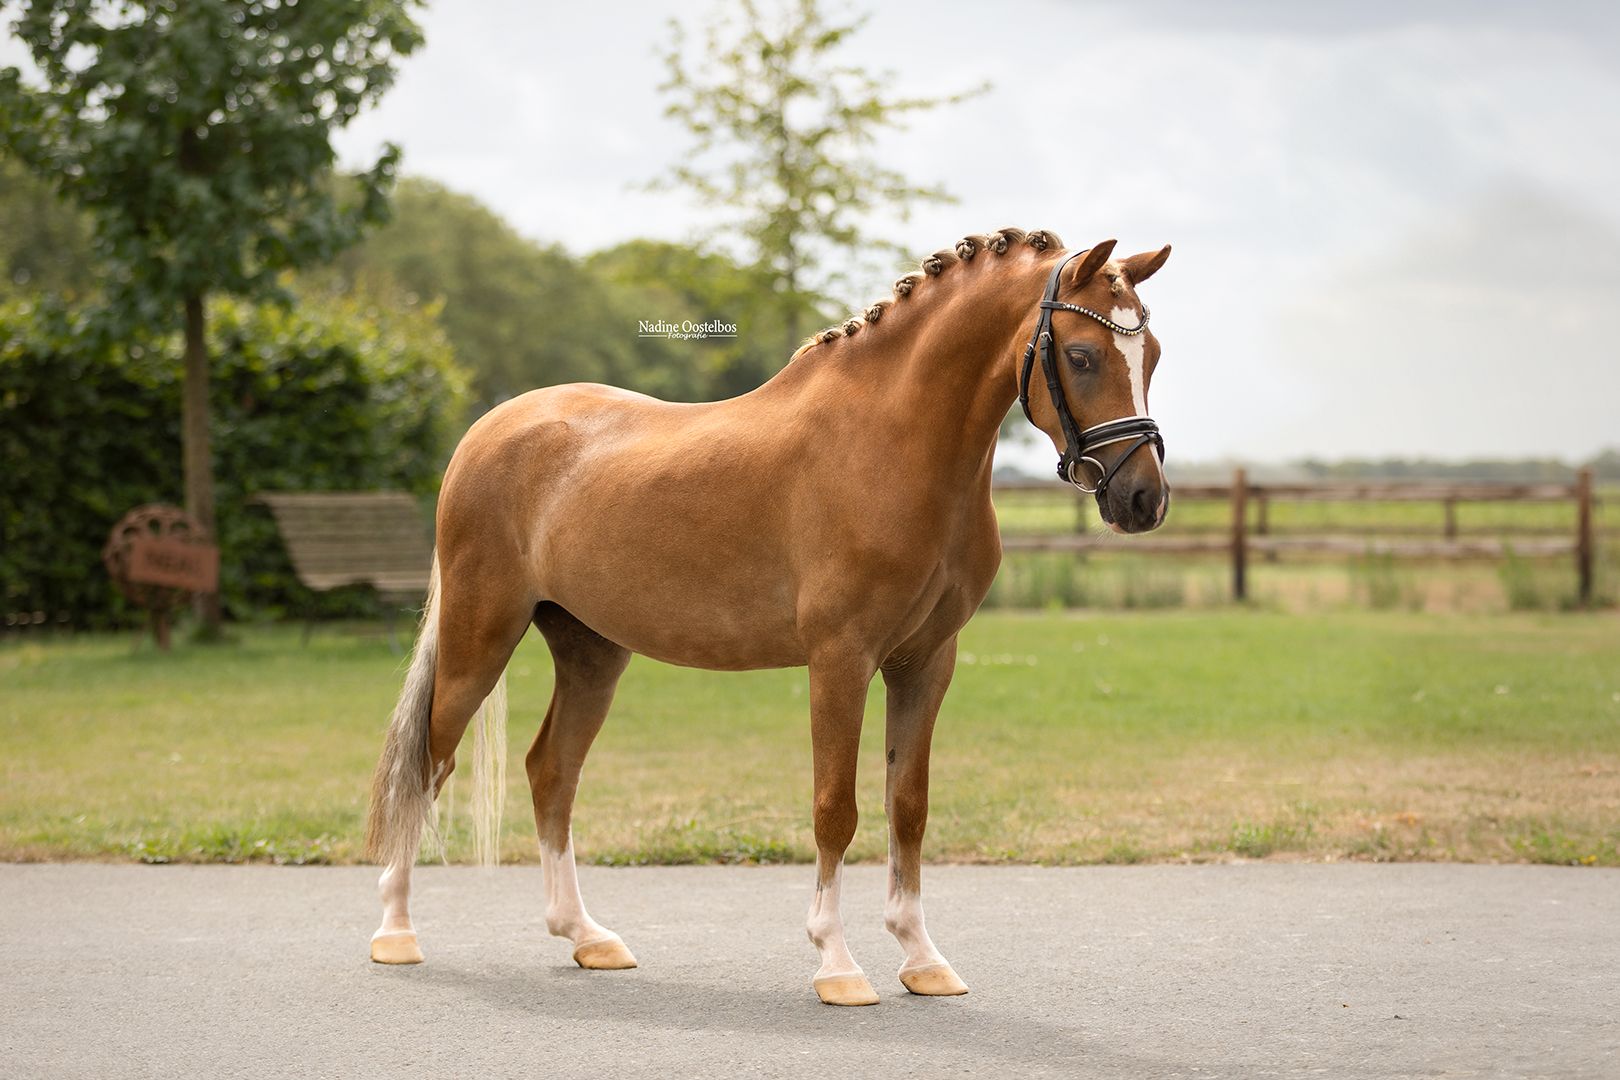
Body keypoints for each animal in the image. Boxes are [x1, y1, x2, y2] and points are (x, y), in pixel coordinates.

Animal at [364, 228, 1173, 1006]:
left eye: (1154, 355)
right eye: (1082, 355)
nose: (1143, 500)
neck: (890, 441)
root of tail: (488, 430)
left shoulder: (925, 661)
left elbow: (907, 806)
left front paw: (922, 960)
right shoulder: (840, 659)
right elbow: (835, 807)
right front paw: (838, 966)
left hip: (591, 650)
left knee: (551, 771)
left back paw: (586, 937)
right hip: (481, 633)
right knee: (429, 762)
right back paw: (396, 932)